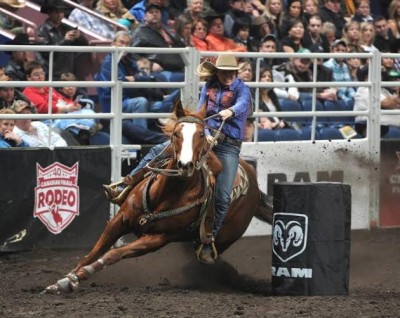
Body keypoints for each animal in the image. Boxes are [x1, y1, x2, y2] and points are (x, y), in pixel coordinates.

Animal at [44, 102, 276, 294]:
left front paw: (80, 276)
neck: (167, 194)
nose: (185, 165)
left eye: (201, 135)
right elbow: (93, 252)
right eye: (176, 134)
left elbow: (112, 254)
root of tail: (255, 187)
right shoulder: (119, 221)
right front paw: (65, 280)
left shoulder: (157, 239)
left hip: (224, 237)